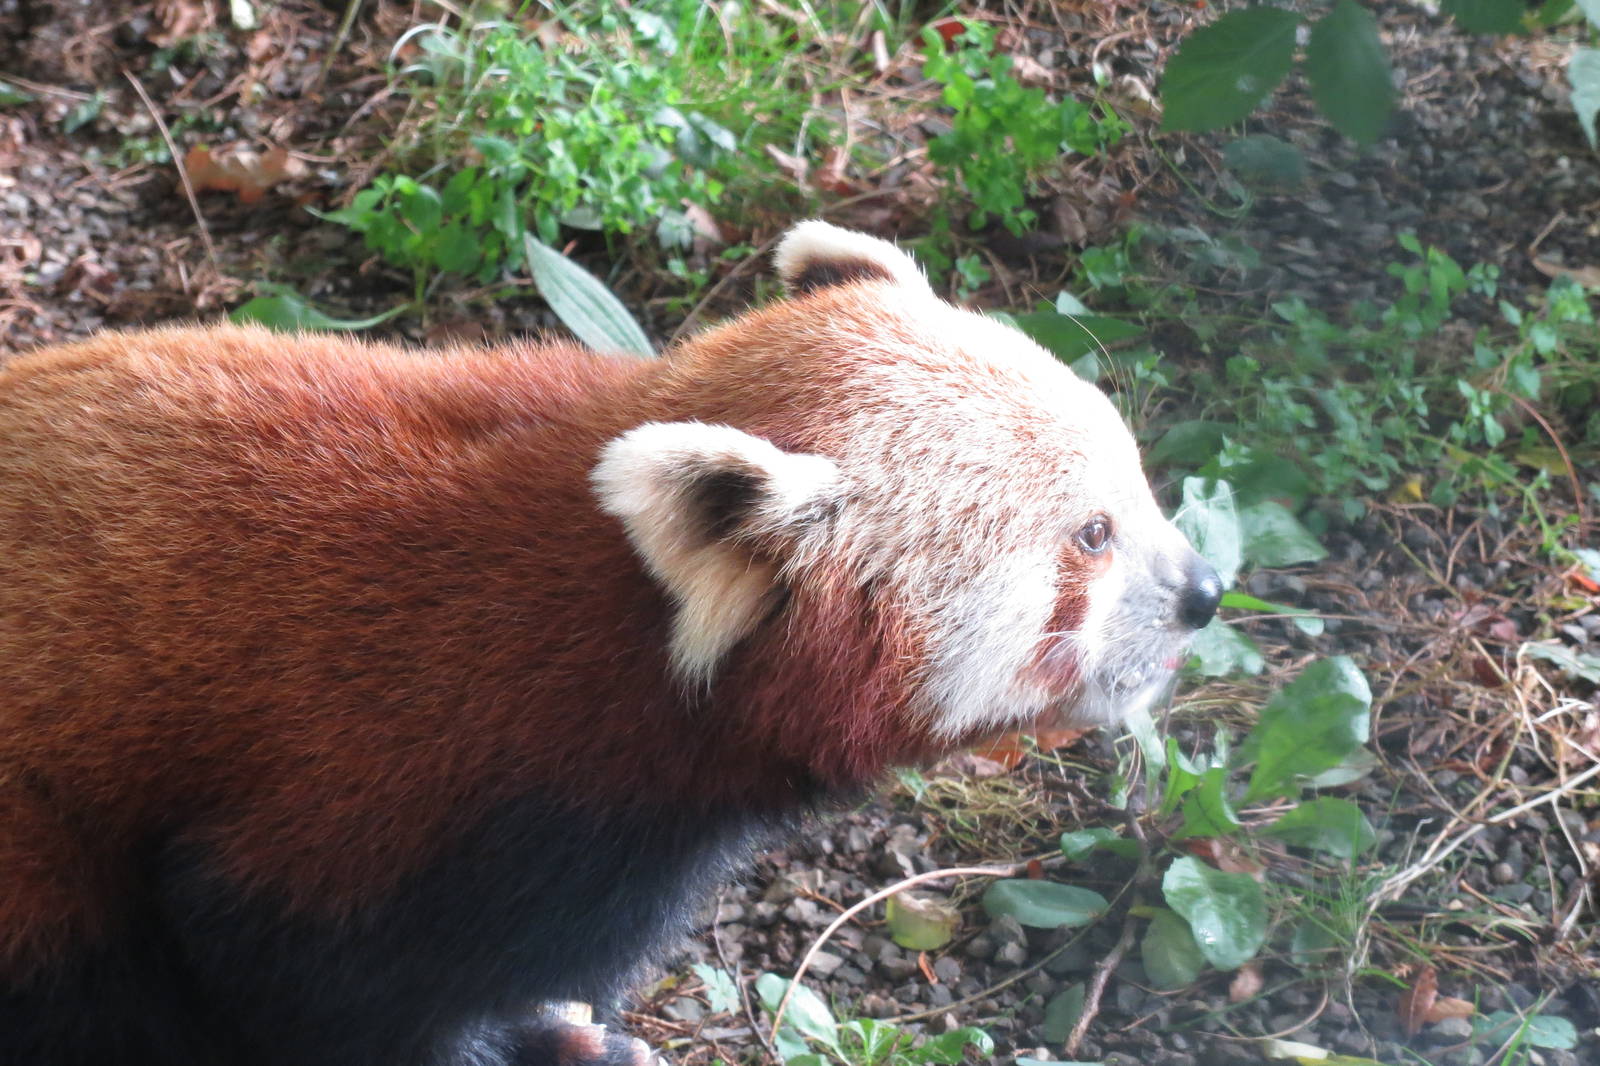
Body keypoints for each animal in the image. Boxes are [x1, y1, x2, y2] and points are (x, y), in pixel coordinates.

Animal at [0, 222, 1220, 1066]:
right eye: (1091, 537)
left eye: (1134, 479)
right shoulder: (392, 785)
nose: (1206, 590)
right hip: (35, 840)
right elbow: (293, 972)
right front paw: (528, 1043)